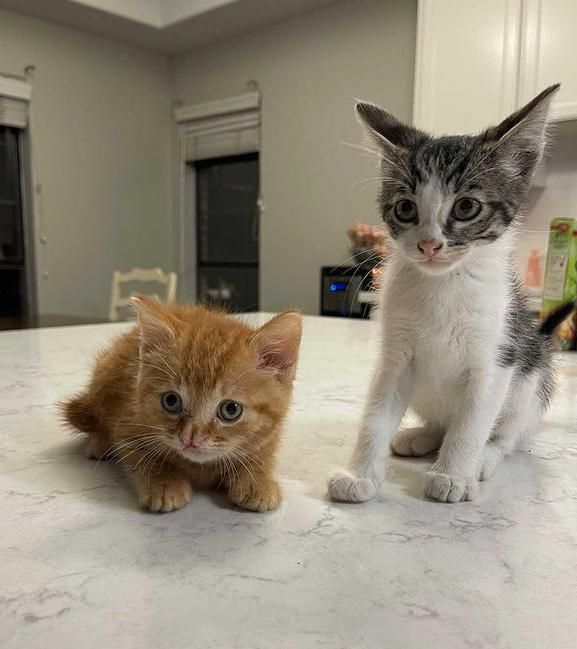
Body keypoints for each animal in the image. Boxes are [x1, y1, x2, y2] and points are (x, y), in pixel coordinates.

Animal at [62, 296, 302, 512]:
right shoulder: (128, 420)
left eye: (231, 409)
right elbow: (142, 456)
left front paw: (257, 480)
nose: (190, 439)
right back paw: (99, 443)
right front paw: (164, 484)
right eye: (171, 401)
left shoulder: (271, 434)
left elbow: (262, 453)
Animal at [326, 85, 564, 502]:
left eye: (466, 207)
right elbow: (376, 414)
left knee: (509, 434)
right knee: (442, 421)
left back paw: (484, 457)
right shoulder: (395, 354)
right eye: (405, 208)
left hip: (531, 382)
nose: (428, 245)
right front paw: (359, 475)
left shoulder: (497, 356)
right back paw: (423, 436)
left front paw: (454, 475)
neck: (445, 283)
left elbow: (472, 422)